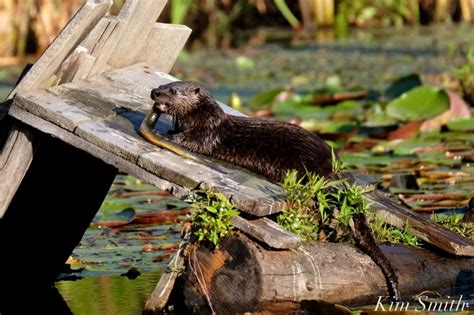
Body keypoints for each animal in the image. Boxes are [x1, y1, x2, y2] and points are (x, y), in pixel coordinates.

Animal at [142, 80, 400, 300]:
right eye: (164, 85)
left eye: (173, 90)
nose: (154, 91)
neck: (202, 117)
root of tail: (333, 164)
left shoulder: (207, 132)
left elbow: (192, 142)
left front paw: (165, 134)